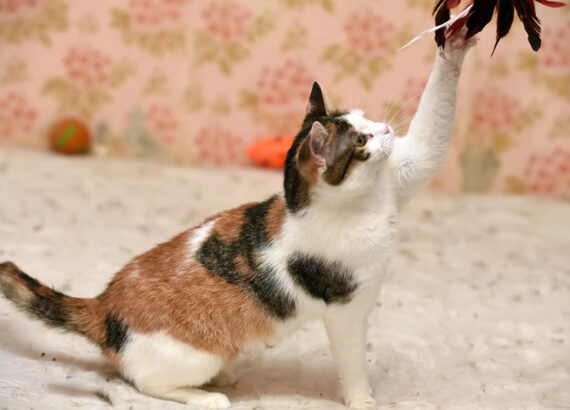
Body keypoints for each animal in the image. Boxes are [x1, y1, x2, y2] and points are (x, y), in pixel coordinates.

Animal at [0, 30, 476, 409]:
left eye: (366, 119)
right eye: (359, 141)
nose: (386, 129)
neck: (363, 204)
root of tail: (102, 305)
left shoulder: (405, 173)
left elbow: (431, 139)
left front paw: (455, 41)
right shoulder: (344, 311)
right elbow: (353, 362)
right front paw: (362, 400)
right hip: (192, 355)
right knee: (139, 383)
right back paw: (207, 394)